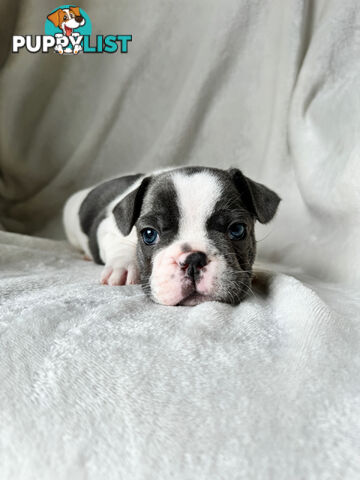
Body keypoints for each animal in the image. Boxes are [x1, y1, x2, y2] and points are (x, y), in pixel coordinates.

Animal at [63, 167, 280, 306]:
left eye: (237, 230)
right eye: (149, 234)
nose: (193, 260)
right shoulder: (108, 226)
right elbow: (119, 244)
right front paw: (123, 267)